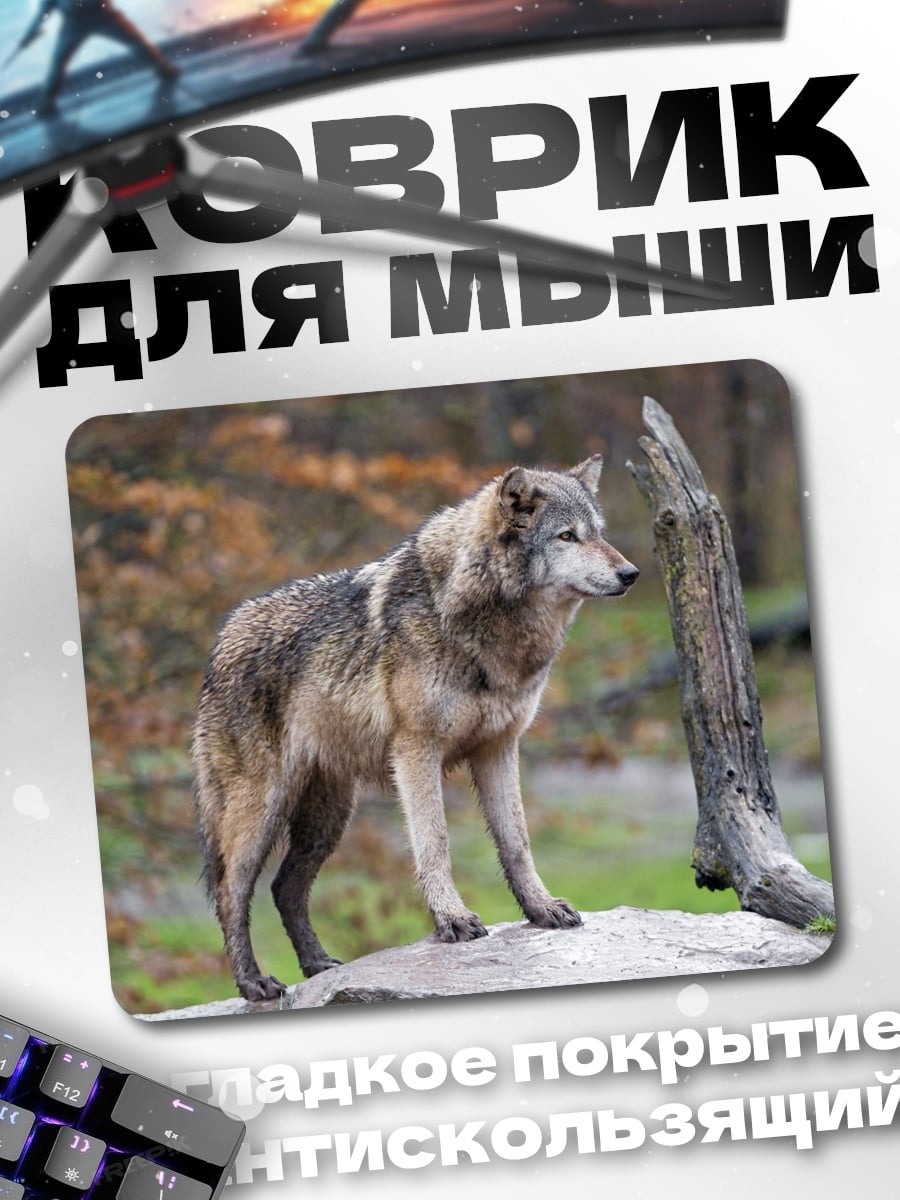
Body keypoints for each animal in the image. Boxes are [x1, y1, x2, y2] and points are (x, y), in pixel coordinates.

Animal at [193, 454, 639, 1001]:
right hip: (262, 809)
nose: (631, 573)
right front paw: (452, 920)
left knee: (285, 887)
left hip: (327, 818)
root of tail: (221, 640)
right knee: (231, 891)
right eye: (567, 536)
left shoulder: (499, 748)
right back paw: (253, 982)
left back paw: (319, 965)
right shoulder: (415, 751)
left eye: (598, 533)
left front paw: (540, 908)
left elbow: (517, 843)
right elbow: (436, 843)